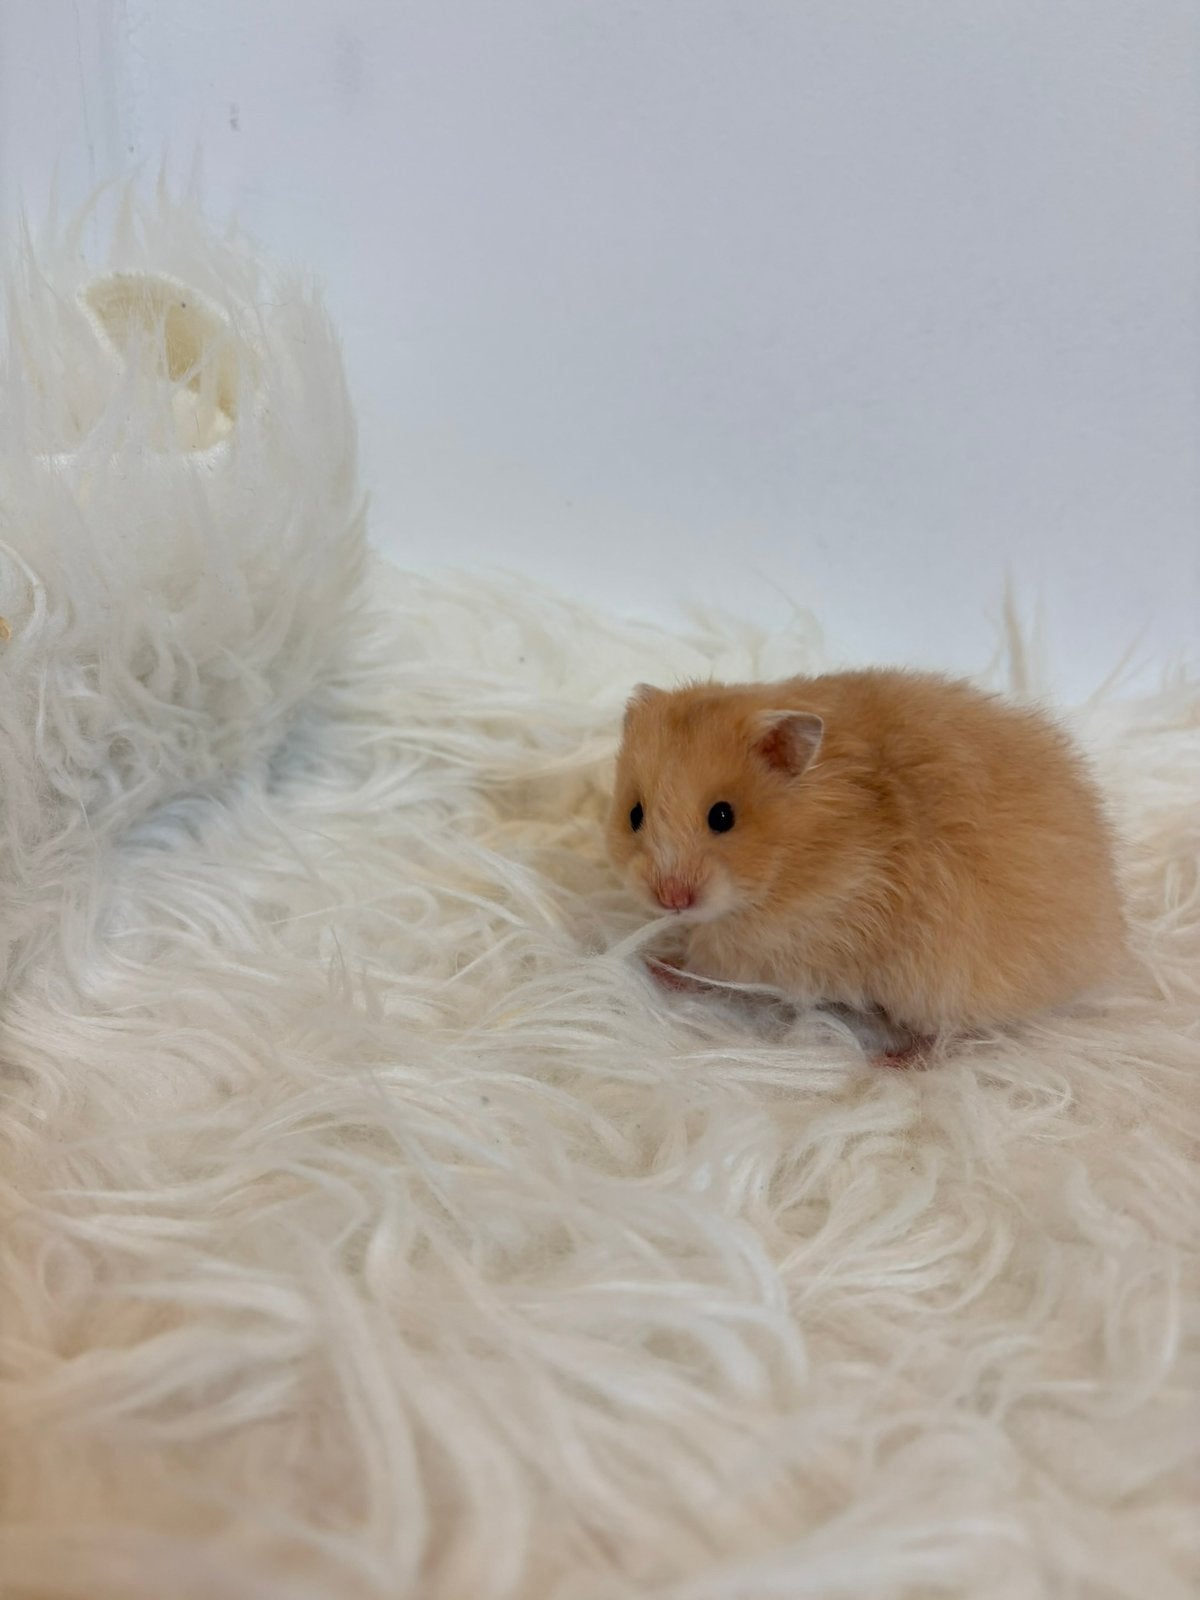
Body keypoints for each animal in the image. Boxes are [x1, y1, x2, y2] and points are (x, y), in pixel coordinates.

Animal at [606, 670, 1126, 1038]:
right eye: (634, 814)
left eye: (722, 817)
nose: (671, 899)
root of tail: (1106, 939)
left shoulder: (784, 943)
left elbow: (708, 968)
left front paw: (658, 964)